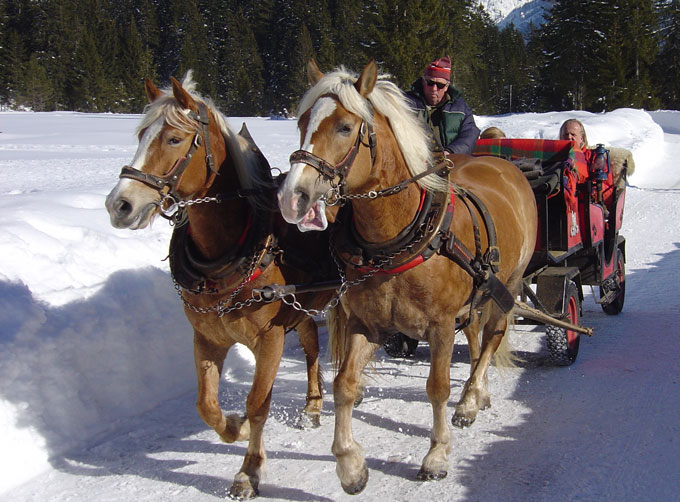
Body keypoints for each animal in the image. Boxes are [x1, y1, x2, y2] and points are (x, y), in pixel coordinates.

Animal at [105, 70, 336, 498]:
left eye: (174, 139)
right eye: (140, 134)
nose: (120, 204)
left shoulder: (270, 339)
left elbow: (258, 403)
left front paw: (249, 470)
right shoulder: (207, 338)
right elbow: (205, 404)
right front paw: (234, 427)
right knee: (312, 342)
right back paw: (313, 404)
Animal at [276, 59, 536, 494]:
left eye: (345, 127)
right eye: (302, 122)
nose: (291, 198)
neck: (395, 239)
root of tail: (504, 165)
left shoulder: (440, 325)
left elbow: (438, 387)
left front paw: (437, 455)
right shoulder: (367, 323)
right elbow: (344, 384)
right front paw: (350, 465)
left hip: (510, 284)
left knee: (491, 338)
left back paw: (469, 399)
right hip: (479, 291)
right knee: (476, 333)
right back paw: (477, 395)